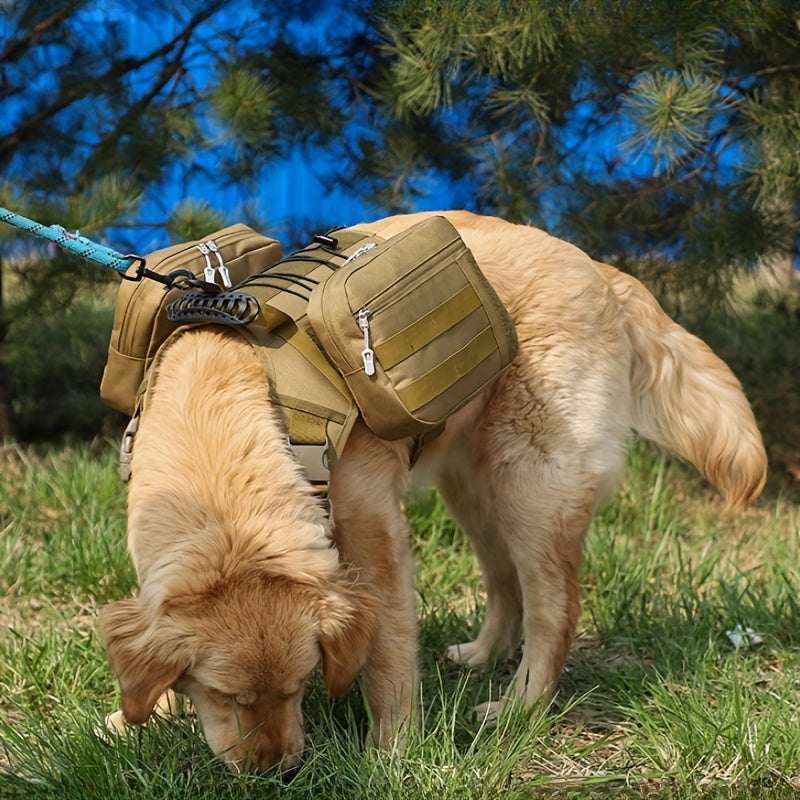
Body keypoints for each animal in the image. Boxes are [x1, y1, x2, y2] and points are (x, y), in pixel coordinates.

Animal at [98, 209, 764, 772]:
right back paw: (482, 655)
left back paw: (519, 709)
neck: (229, 412)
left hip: (532, 487)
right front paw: (140, 718)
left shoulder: (375, 540)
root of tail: (601, 271)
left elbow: (388, 654)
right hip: (471, 489)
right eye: (226, 696)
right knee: (504, 582)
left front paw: (390, 751)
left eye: (299, 685)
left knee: (554, 612)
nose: (279, 771)